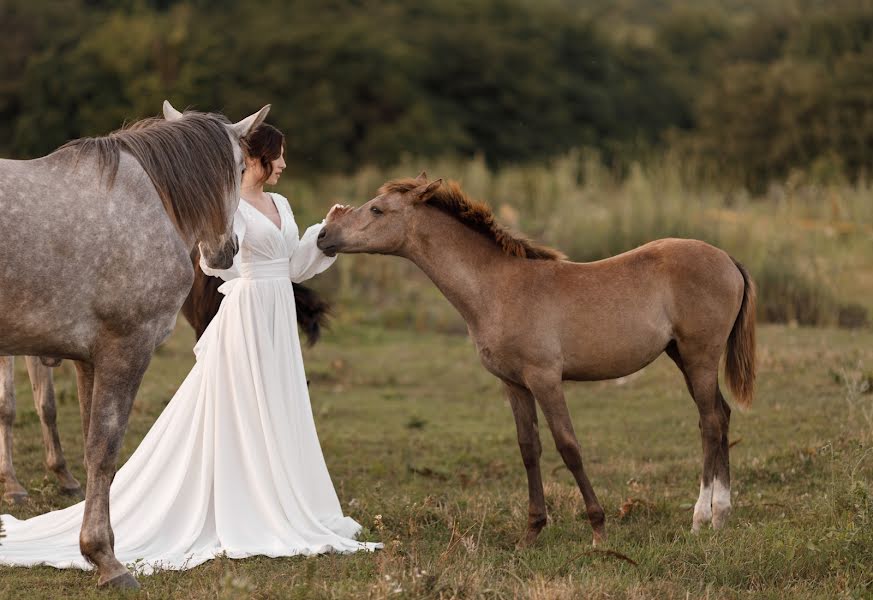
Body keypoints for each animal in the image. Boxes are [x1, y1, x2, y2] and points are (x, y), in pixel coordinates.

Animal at [316, 171, 752, 548]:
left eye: (376, 209)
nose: (322, 236)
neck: (497, 288)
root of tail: (728, 259)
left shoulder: (545, 379)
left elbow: (568, 446)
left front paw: (598, 530)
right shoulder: (514, 384)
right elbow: (529, 449)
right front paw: (531, 533)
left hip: (699, 356)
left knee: (710, 423)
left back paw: (700, 520)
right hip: (682, 356)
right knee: (721, 415)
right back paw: (722, 516)